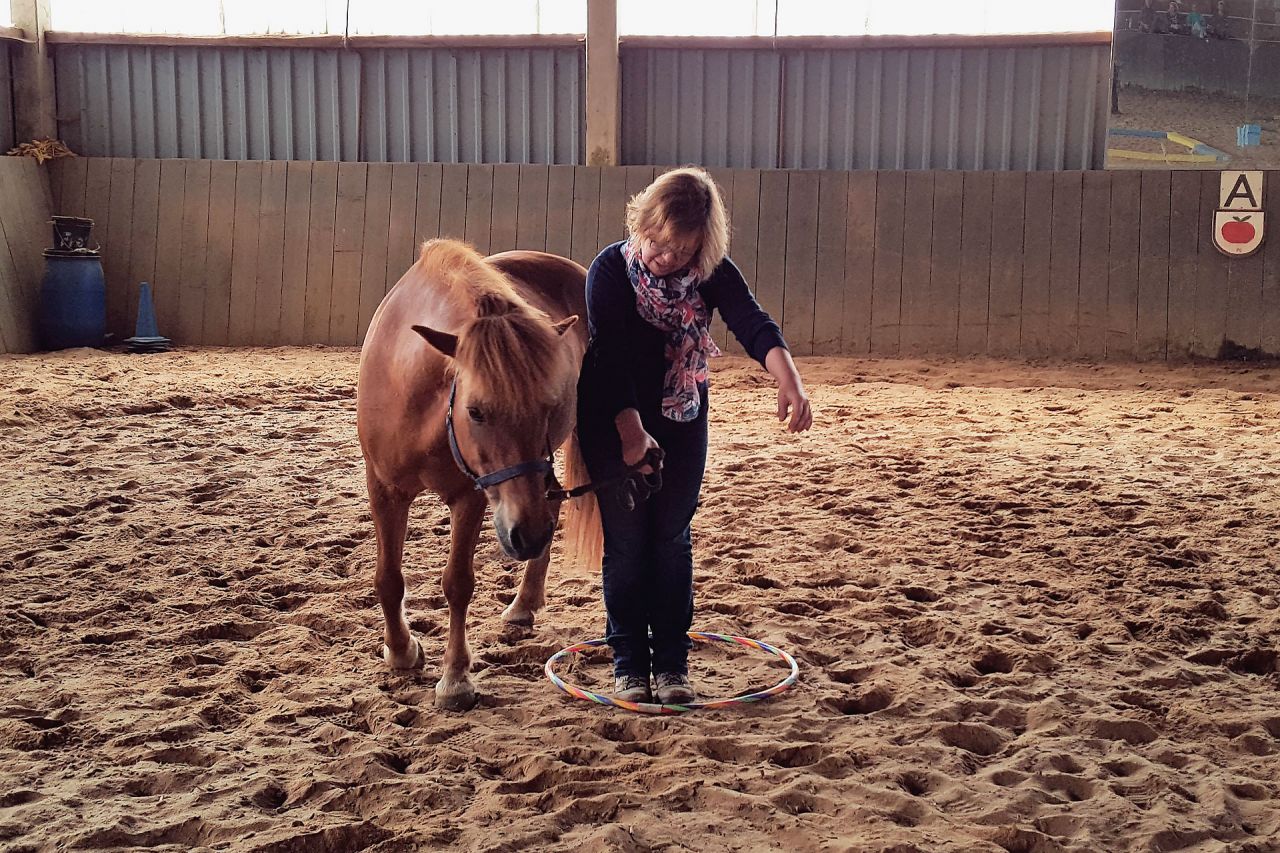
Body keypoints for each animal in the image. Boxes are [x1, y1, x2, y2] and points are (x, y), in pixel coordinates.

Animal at [358, 236, 601, 701]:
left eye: (549, 407)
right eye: (476, 411)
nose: (528, 535)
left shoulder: (470, 496)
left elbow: (457, 583)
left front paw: (455, 678)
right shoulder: (384, 489)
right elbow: (388, 578)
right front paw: (401, 652)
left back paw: (524, 602)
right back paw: (524, 605)